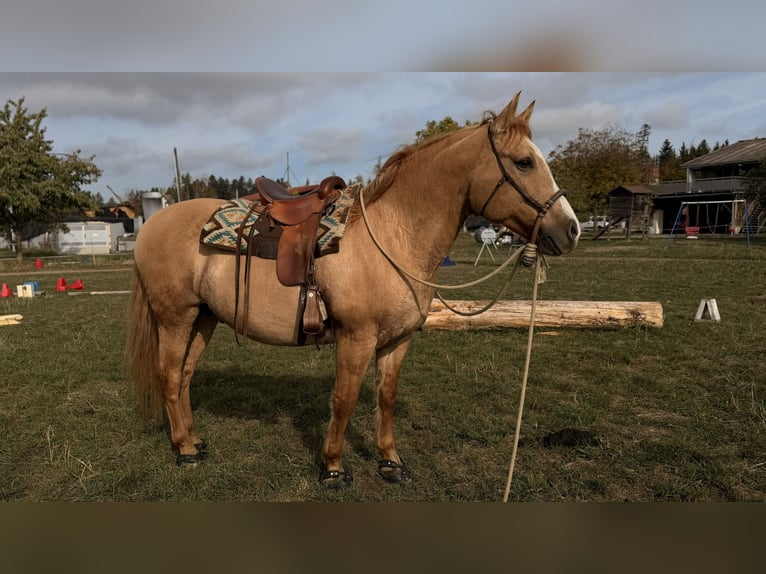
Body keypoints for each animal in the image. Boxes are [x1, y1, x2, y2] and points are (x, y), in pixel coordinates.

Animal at [126, 92, 580, 486]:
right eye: (524, 162)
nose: (571, 229)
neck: (394, 236)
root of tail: (151, 225)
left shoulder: (397, 341)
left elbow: (386, 398)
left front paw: (390, 463)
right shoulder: (356, 338)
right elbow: (343, 400)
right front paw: (332, 468)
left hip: (204, 317)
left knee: (185, 376)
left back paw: (194, 440)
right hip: (175, 317)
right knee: (169, 374)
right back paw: (184, 450)